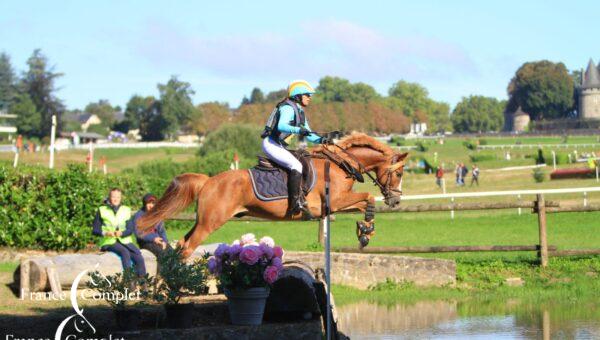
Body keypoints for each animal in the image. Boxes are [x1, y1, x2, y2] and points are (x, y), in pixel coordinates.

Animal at [137, 133, 408, 258]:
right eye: (398, 173)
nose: (395, 200)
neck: (340, 164)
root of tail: (208, 181)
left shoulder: (334, 207)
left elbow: (364, 203)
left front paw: (365, 230)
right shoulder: (334, 202)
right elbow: (369, 197)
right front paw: (366, 232)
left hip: (203, 220)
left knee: (181, 243)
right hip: (211, 222)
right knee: (187, 247)